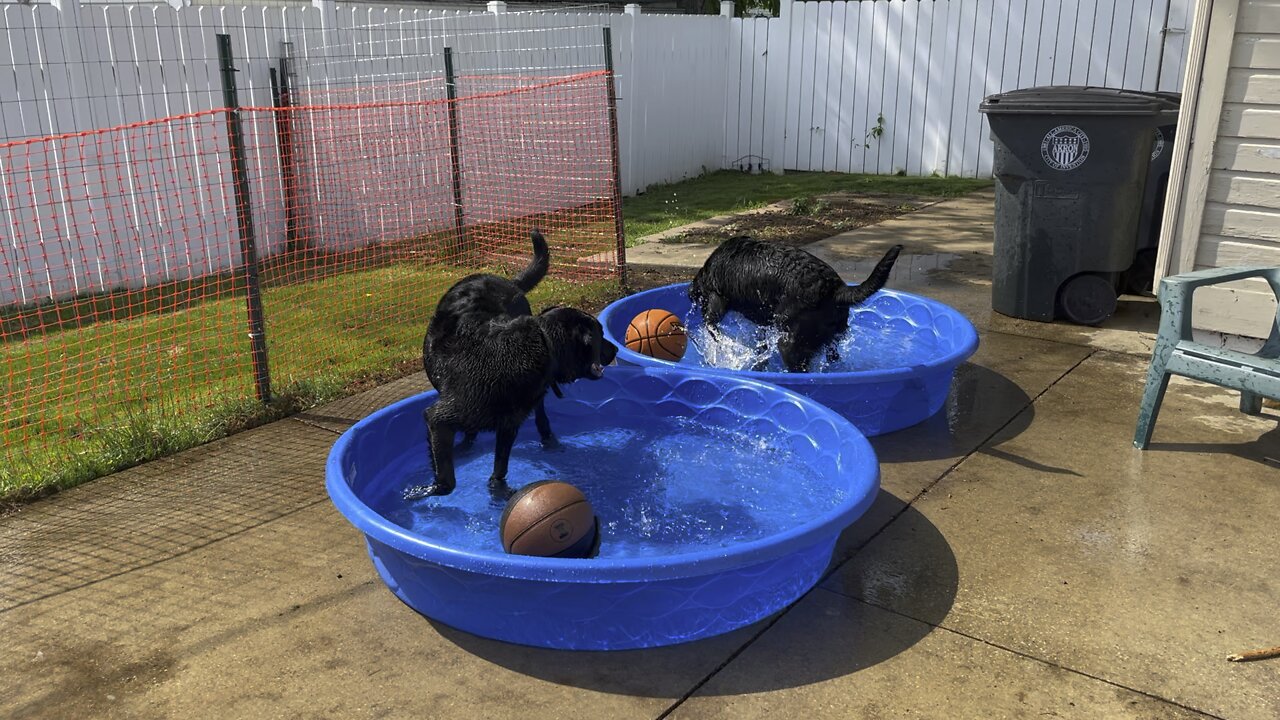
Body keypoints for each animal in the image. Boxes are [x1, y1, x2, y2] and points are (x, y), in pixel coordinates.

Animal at [401, 229, 616, 499]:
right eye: (600, 334)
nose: (616, 349)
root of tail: (508, 281)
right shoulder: (438, 419)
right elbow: (447, 481)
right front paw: (426, 489)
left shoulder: (509, 423)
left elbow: (500, 465)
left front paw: (499, 488)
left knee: (540, 413)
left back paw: (547, 438)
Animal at [691, 235, 901, 368]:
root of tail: (834, 288)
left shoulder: (717, 298)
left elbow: (712, 325)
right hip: (832, 338)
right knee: (832, 356)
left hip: (789, 343)